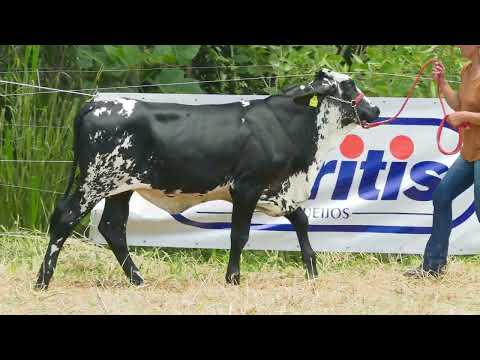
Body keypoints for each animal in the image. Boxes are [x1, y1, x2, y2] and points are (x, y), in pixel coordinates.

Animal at [34, 69, 378, 290]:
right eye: (348, 85)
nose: (374, 108)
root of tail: (96, 103)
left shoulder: (277, 190)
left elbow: (301, 221)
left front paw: (312, 271)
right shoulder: (247, 187)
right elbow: (239, 235)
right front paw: (233, 279)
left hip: (121, 187)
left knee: (113, 228)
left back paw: (138, 280)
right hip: (95, 181)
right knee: (66, 218)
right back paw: (42, 281)